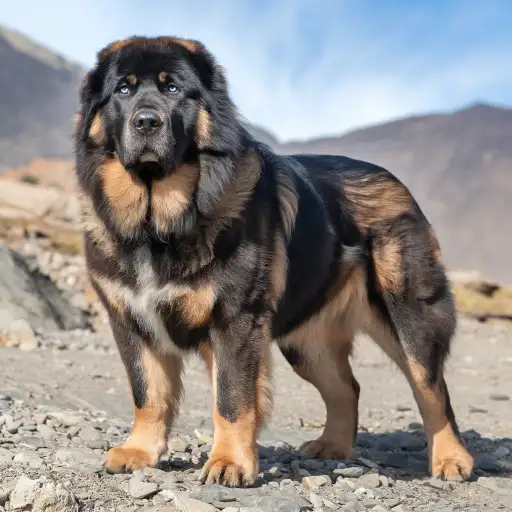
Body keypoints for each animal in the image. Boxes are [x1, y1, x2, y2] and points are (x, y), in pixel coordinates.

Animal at [74, 35, 474, 484]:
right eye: (123, 90)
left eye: (173, 89)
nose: (145, 121)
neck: (157, 224)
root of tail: (399, 186)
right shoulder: (131, 320)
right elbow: (148, 393)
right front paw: (140, 451)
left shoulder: (235, 321)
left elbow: (231, 398)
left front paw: (229, 463)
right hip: (305, 342)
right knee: (346, 389)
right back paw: (332, 447)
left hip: (410, 318)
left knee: (432, 390)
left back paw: (451, 459)